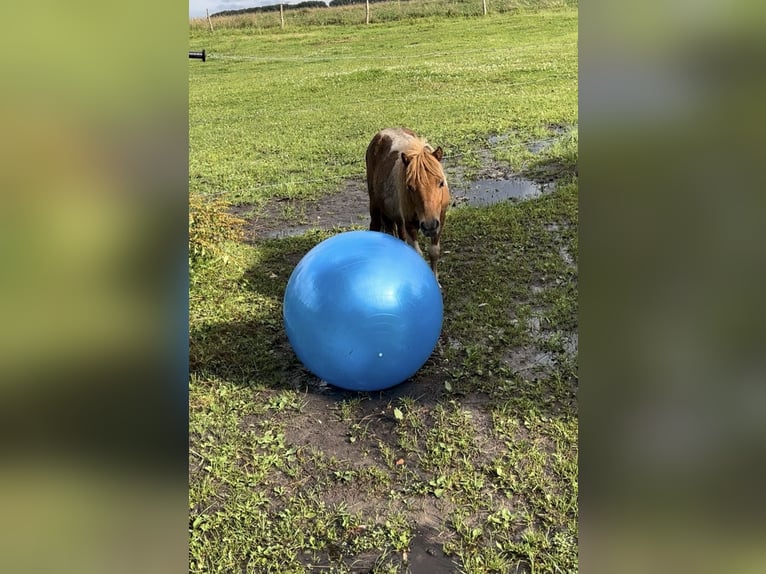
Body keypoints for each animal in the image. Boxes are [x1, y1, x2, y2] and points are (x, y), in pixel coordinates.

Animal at [365, 127, 450, 281]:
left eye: (441, 182)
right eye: (410, 187)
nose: (429, 225)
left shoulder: (440, 220)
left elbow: (434, 251)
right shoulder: (410, 224)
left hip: (395, 218)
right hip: (375, 206)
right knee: (375, 226)